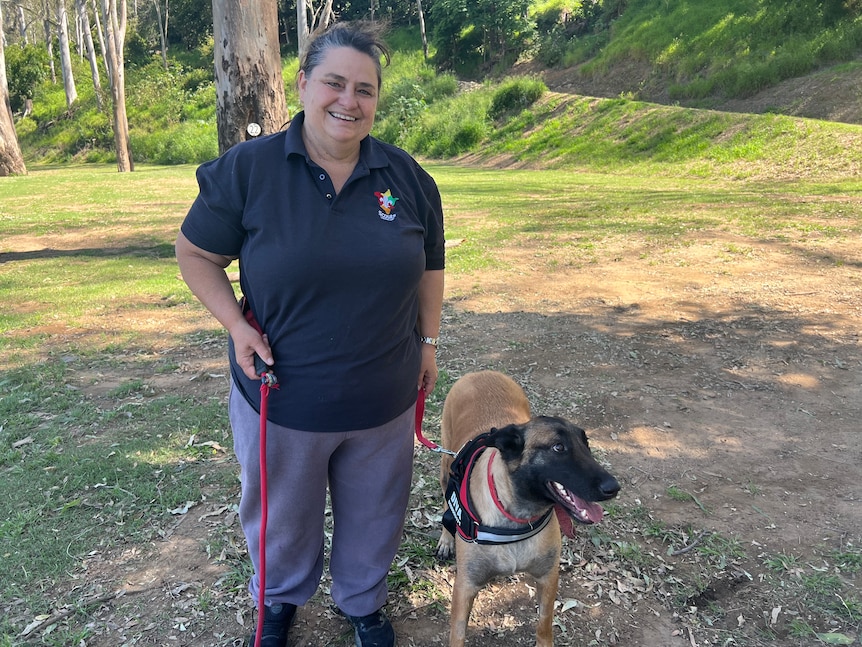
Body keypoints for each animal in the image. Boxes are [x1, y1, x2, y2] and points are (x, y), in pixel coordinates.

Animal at [438, 370, 620, 647]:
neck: (517, 516)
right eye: (558, 447)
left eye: (586, 443)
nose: (614, 487)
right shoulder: (465, 586)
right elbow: (457, 635)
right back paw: (446, 538)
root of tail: (482, 372)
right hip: (445, 467)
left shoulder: (548, 577)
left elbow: (544, 624)